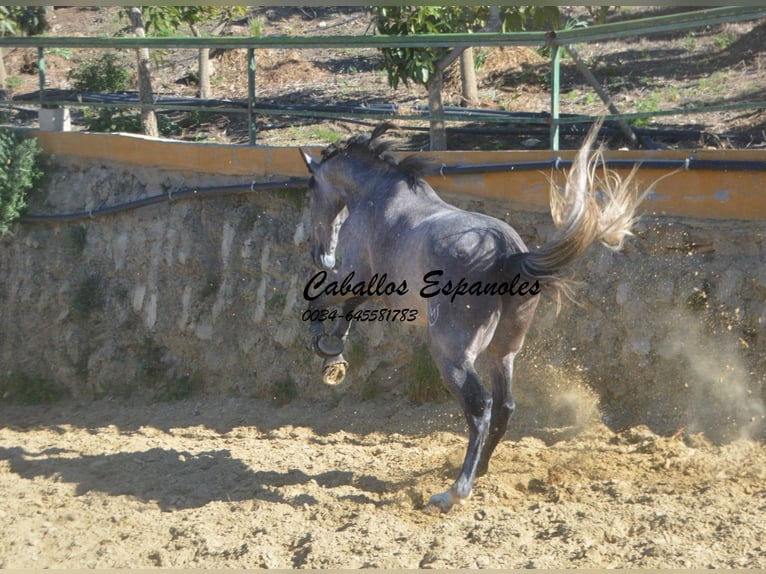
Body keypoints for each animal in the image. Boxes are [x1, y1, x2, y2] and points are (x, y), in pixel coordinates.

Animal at [300, 122, 648, 516]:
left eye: (310, 191)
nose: (321, 254)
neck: (376, 195)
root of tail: (509, 256)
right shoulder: (373, 284)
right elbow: (348, 308)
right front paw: (334, 354)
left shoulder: (356, 275)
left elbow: (319, 299)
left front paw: (324, 347)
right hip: (503, 352)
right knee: (505, 406)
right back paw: (480, 470)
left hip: (451, 355)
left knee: (480, 407)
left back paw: (454, 491)